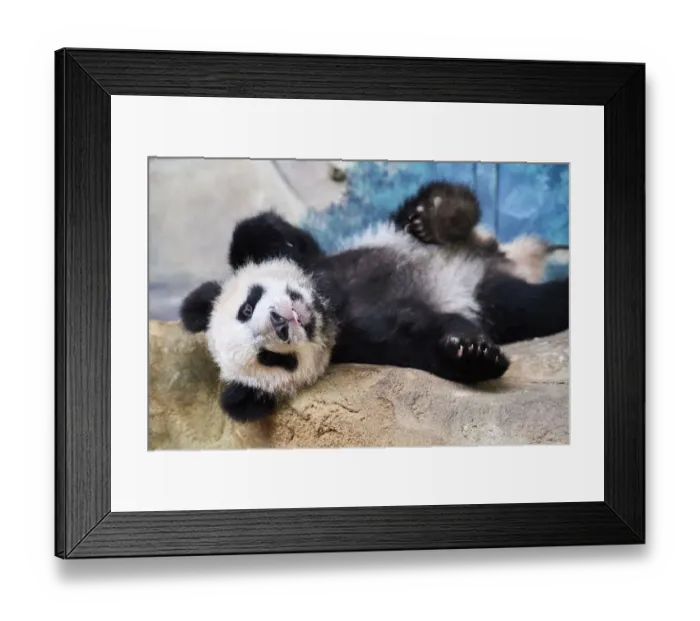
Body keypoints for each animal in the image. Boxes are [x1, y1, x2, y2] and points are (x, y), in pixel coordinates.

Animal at [180, 181, 569, 423]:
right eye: (271, 359)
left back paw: (437, 215)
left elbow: (260, 234)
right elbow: (416, 341)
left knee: (434, 204)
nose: (280, 320)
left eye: (247, 308)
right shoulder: (362, 344)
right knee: (535, 305)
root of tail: (499, 261)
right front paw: (472, 353)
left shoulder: (325, 260)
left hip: (407, 234)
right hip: (493, 299)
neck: (331, 307)